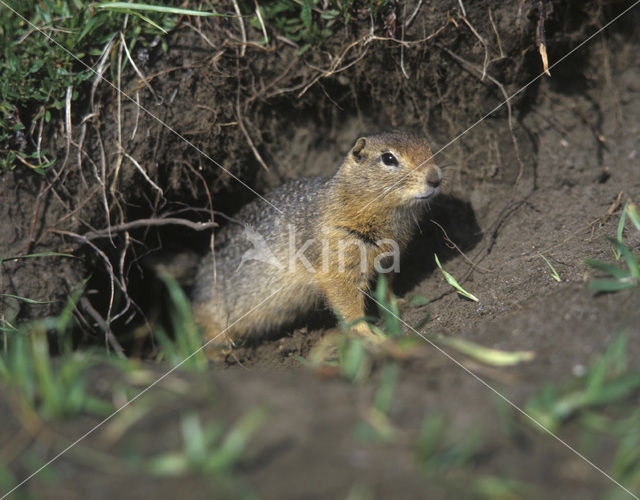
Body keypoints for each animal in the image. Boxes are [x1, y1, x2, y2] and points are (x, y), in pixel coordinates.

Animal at [191, 129, 440, 356]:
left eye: (428, 148)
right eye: (388, 158)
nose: (436, 178)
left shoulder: (388, 259)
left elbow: (385, 288)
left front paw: (399, 303)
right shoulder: (338, 257)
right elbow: (346, 301)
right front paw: (368, 335)